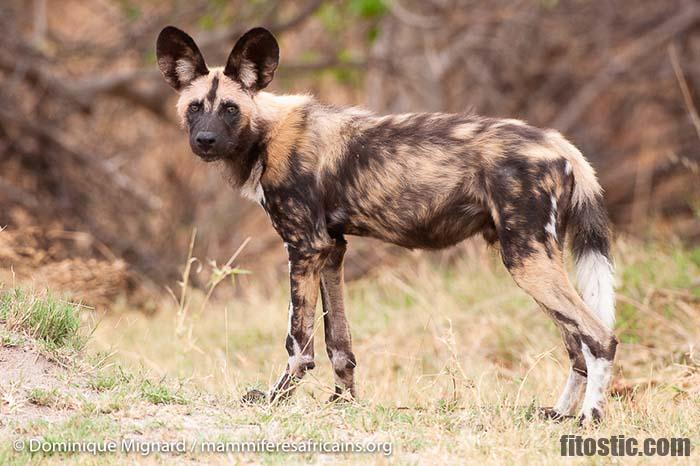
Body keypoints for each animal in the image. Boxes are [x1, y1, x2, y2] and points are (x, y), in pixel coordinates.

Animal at [156, 27, 616, 424]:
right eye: (195, 108)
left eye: (230, 109)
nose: (205, 141)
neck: (267, 134)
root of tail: (559, 143)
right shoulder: (331, 250)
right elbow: (338, 342)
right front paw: (342, 402)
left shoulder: (304, 248)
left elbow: (298, 342)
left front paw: (276, 398)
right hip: (537, 259)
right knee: (575, 345)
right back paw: (558, 413)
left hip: (525, 260)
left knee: (600, 337)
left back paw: (589, 419)